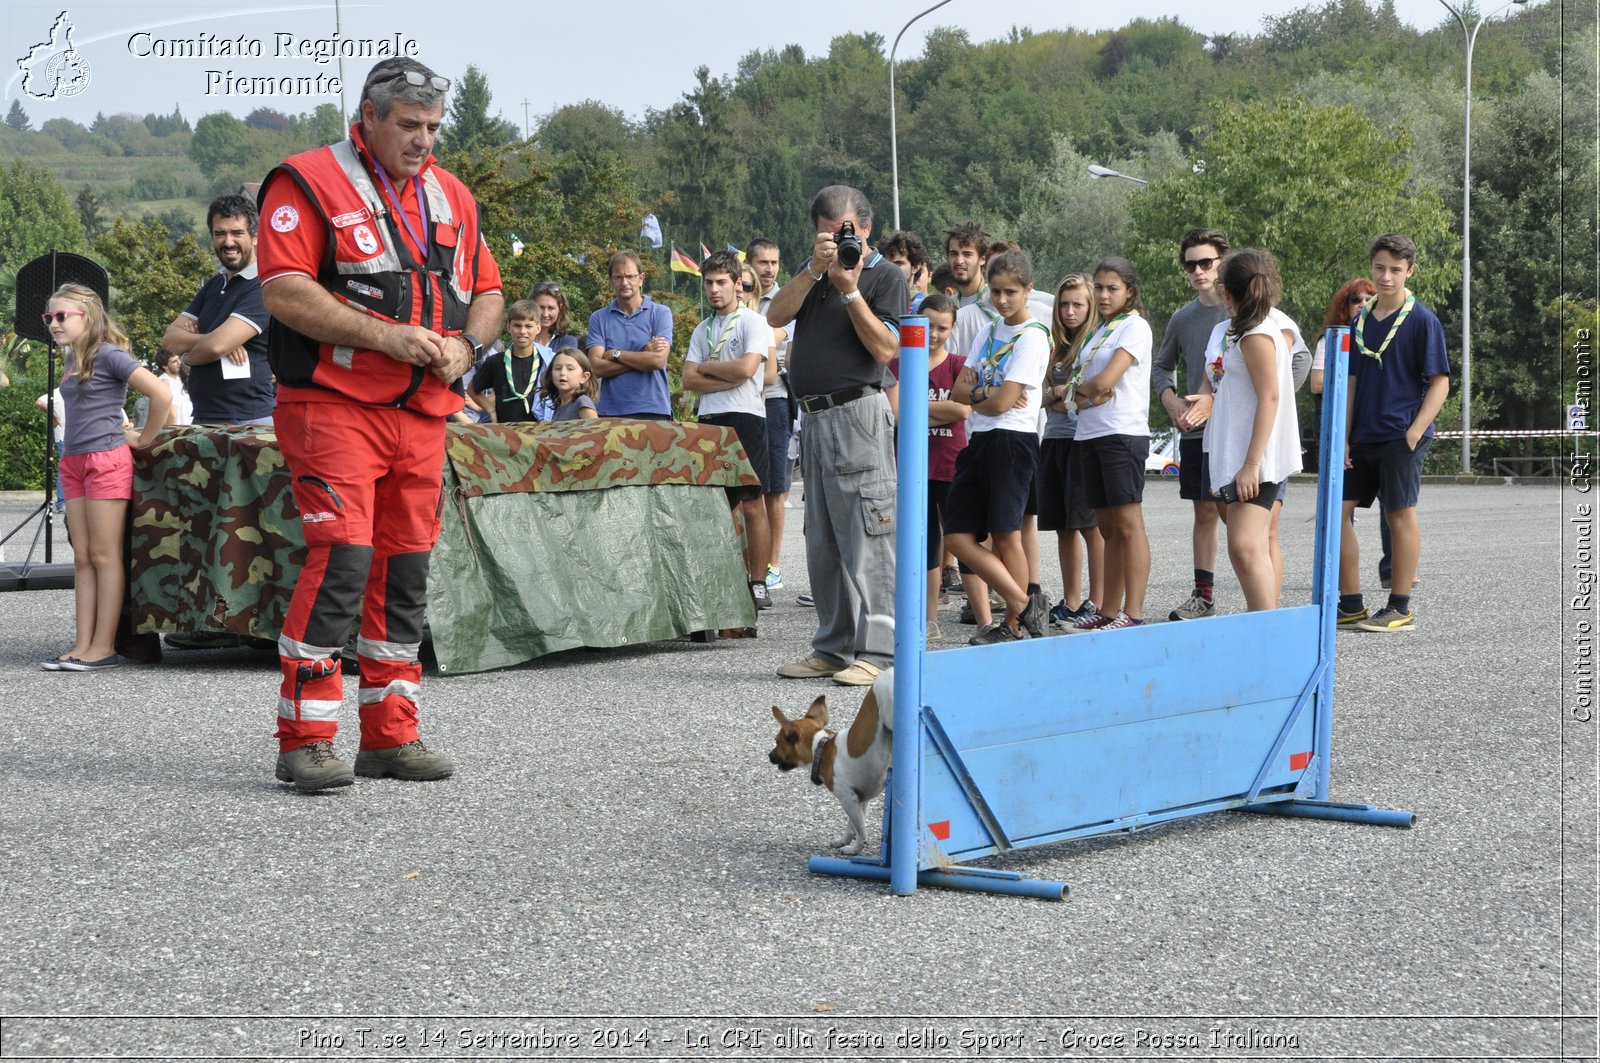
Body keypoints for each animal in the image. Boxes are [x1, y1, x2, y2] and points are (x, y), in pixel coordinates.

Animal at [768, 665, 896, 858]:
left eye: (777, 742)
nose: (769, 756)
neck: (821, 747)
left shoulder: (847, 799)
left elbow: (861, 830)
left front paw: (855, 848)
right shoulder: (860, 801)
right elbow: (852, 826)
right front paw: (844, 841)